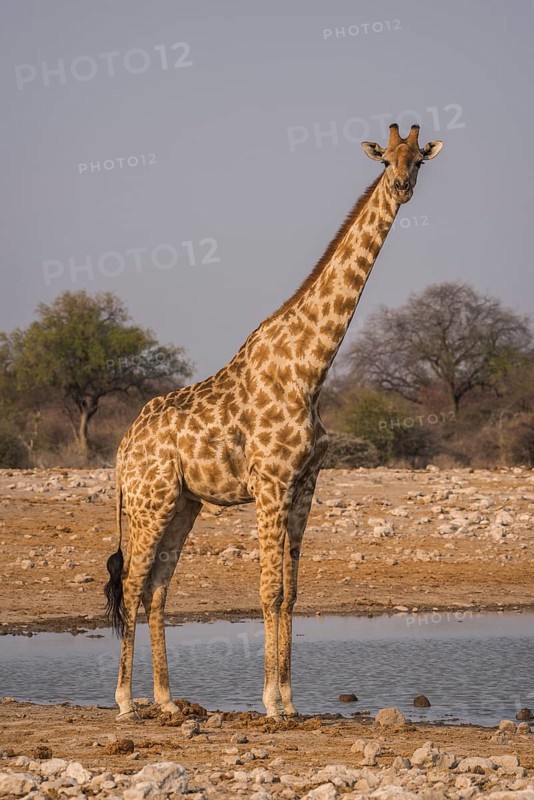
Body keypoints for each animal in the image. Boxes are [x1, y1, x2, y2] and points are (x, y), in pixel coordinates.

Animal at [105, 123, 443, 720]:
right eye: (386, 160)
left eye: (419, 160)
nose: (402, 187)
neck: (311, 368)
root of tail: (124, 447)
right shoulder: (270, 482)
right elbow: (267, 590)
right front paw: (268, 701)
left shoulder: (305, 483)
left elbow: (291, 591)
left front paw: (289, 700)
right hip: (148, 501)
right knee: (130, 585)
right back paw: (124, 701)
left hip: (182, 504)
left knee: (156, 589)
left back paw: (166, 700)